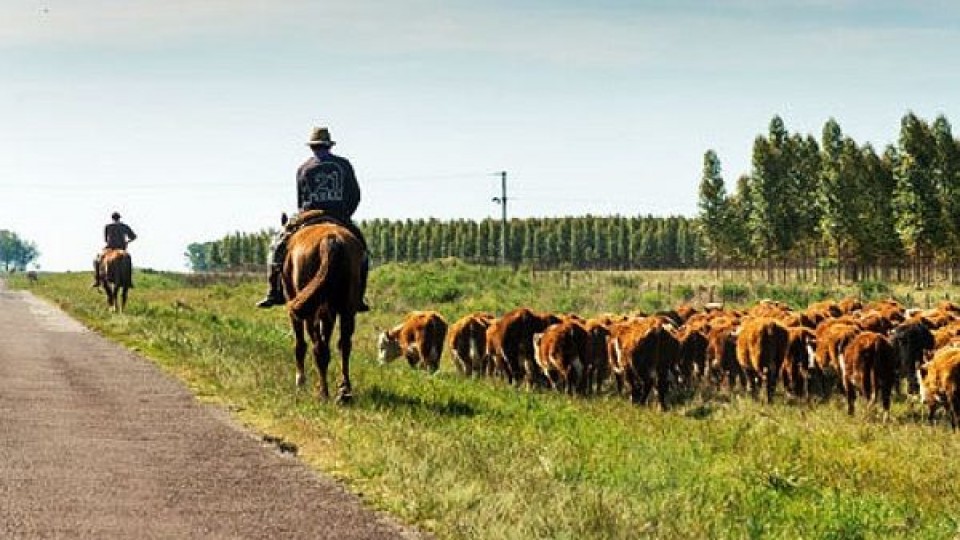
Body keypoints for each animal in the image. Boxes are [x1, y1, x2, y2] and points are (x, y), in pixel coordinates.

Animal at [284, 218, 366, 400]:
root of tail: (331, 240)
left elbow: (300, 344)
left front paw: (300, 381)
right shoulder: (330, 313)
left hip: (311, 312)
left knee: (318, 348)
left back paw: (323, 392)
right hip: (346, 309)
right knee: (344, 345)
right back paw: (344, 390)